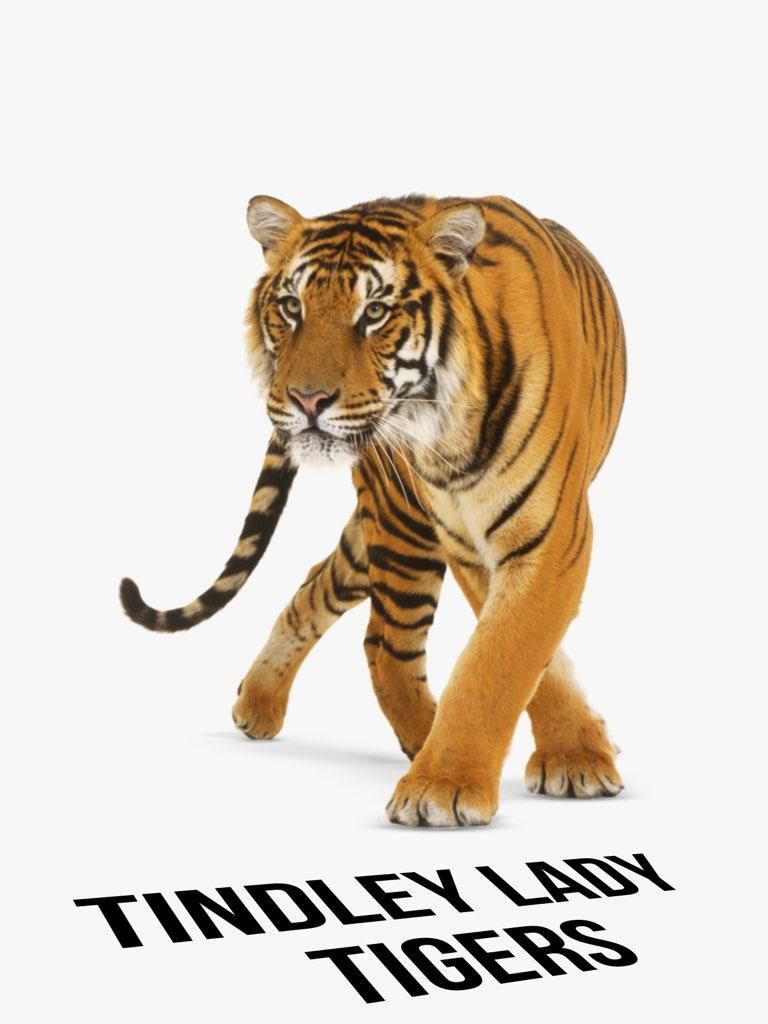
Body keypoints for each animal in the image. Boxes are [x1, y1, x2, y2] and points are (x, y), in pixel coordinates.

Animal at [120, 192, 627, 827]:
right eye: (292, 307)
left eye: (376, 312)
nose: (306, 399)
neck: (447, 431)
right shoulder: (466, 542)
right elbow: (508, 659)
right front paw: (449, 783)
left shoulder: (549, 537)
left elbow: (504, 656)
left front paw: (566, 758)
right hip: (402, 524)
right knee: (383, 645)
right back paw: (416, 739)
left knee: (317, 587)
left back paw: (258, 703)